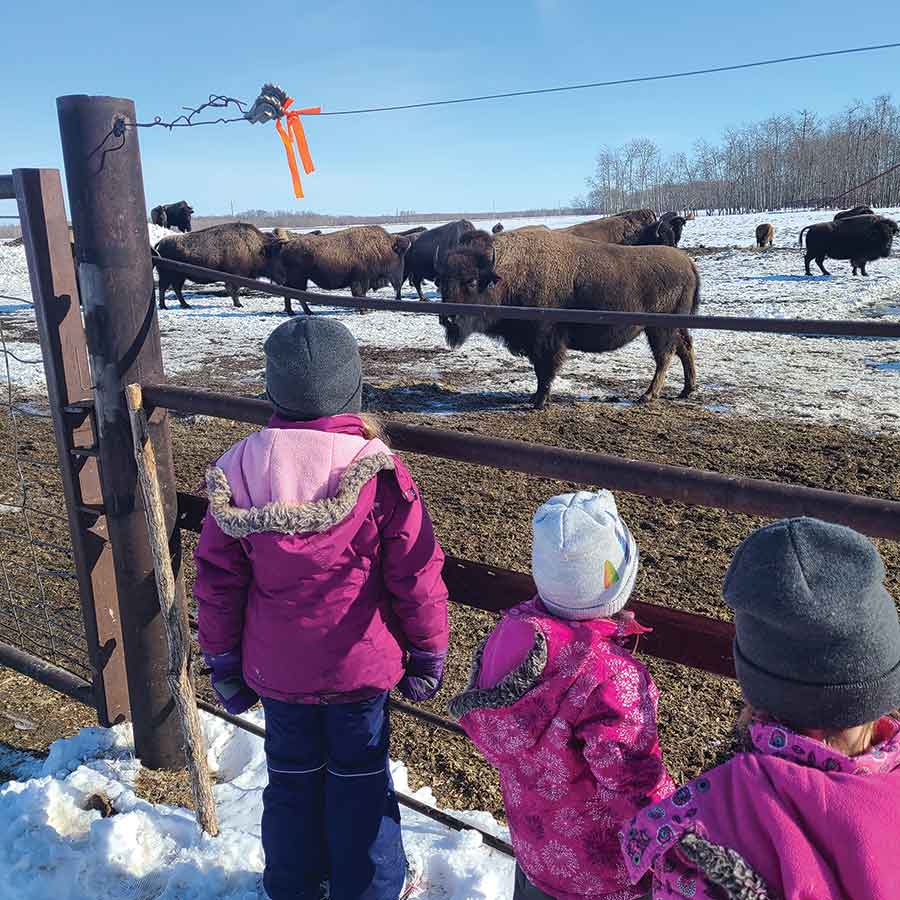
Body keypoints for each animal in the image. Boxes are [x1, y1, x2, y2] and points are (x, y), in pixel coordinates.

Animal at [437, 228, 699, 409]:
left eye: (471, 281)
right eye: (442, 281)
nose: (448, 318)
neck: (508, 273)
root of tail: (687, 262)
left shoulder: (545, 340)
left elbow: (545, 370)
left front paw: (539, 402)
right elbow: (539, 370)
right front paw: (534, 398)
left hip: (659, 329)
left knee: (664, 357)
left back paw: (648, 395)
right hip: (675, 328)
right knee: (684, 349)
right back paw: (687, 390)